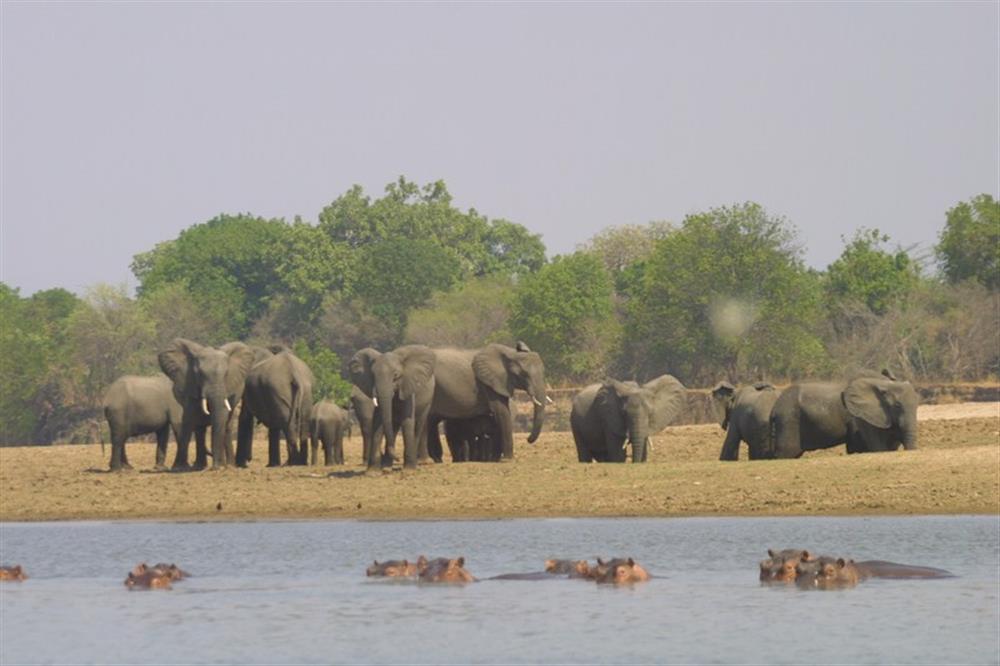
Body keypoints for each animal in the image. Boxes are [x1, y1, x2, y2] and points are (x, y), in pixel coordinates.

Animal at [158, 338, 256, 466]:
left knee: (226, 426)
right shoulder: (190, 383)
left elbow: (221, 418)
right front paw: (179, 467)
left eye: (226, 374)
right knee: (200, 427)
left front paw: (220, 466)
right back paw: (201, 465)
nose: (216, 466)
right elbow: (189, 419)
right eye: (200, 374)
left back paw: (229, 465)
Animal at [768, 368, 916, 456]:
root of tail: (775, 408)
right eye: (897, 406)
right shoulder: (860, 418)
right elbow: (866, 446)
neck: (883, 383)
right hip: (789, 420)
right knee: (787, 452)